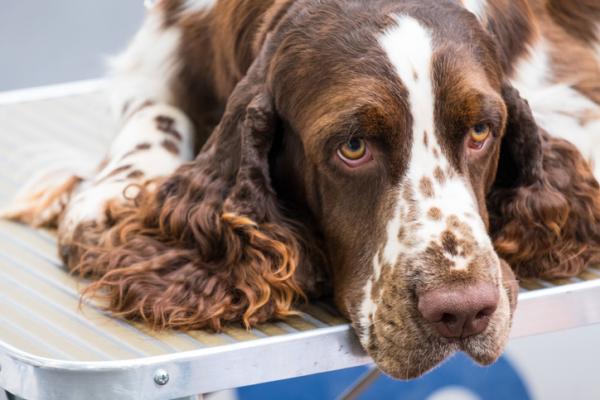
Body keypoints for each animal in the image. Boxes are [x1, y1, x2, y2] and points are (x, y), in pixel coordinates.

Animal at [3, 0, 600, 380]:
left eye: (480, 132)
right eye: (353, 147)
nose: (462, 311)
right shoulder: (155, 61)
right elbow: (154, 112)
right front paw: (108, 197)